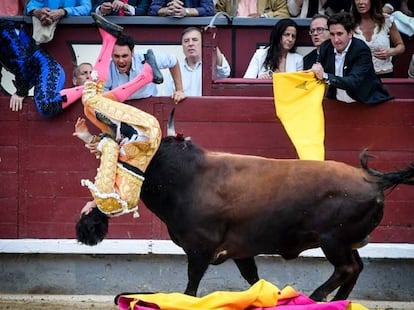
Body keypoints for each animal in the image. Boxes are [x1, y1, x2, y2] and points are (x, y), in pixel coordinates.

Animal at [140, 136, 414, 300]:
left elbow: (191, 285)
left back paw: (315, 297)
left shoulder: (200, 248)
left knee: (347, 268)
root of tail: (373, 181)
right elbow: (253, 278)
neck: (187, 178)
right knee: (356, 268)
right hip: (347, 242)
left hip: (333, 240)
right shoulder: (239, 250)